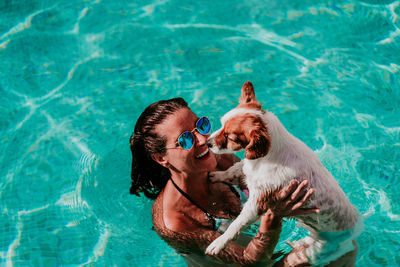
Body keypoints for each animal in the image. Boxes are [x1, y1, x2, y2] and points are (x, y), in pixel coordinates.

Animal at [206, 81, 362, 266]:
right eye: (221, 124)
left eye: (230, 137)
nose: (207, 143)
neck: (264, 159)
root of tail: (353, 238)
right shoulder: (247, 169)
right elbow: (232, 171)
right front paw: (217, 176)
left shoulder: (258, 202)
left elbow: (236, 224)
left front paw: (219, 243)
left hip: (315, 254)